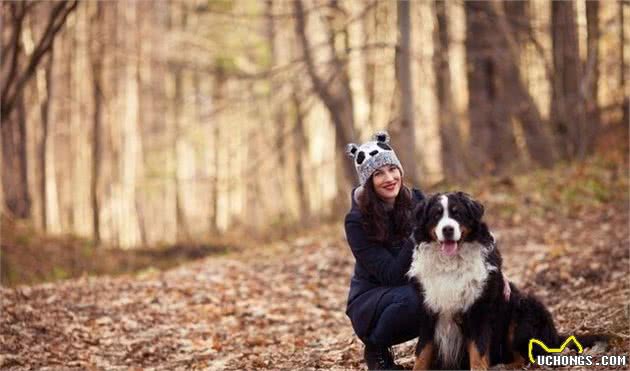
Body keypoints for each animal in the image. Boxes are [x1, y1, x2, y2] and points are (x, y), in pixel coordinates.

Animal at [408, 193, 608, 370]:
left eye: (458, 214)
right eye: (436, 215)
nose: (448, 229)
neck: (451, 264)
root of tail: (555, 336)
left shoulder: (479, 312)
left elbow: (478, 353)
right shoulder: (429, 312)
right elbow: (422, 353)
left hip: (524, 310)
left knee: (526, 358)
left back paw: (502, 366)